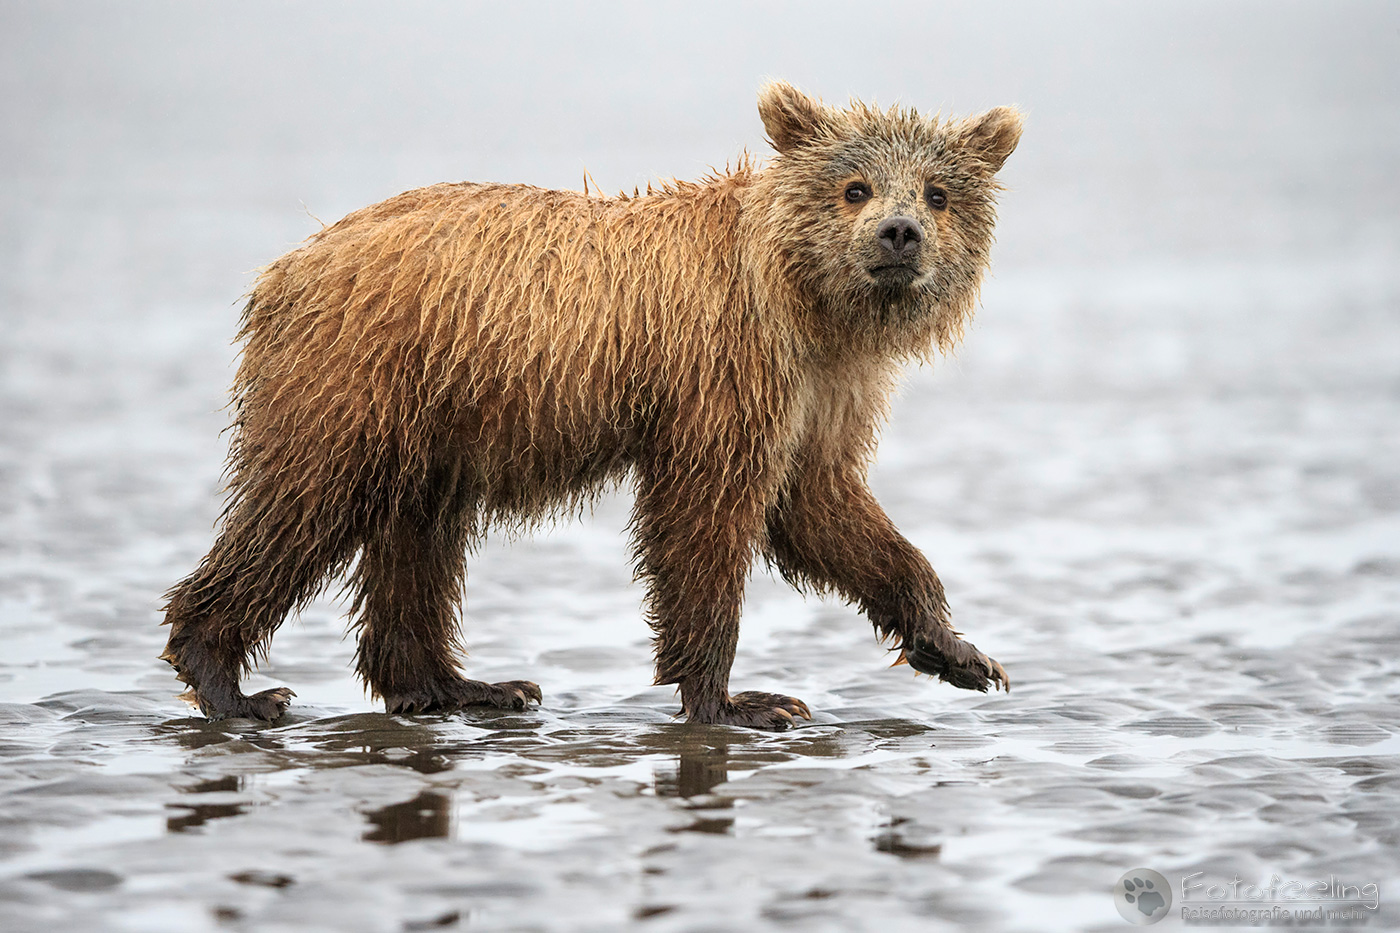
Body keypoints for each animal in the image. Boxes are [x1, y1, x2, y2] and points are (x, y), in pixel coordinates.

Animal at [160, 82, 1021, 729]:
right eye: (855, 187)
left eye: (939, 192)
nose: (899, 233)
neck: (811, 307)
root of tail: (288, 263)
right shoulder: (723, 373)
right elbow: (706, 517)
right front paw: (741, 699)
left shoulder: (825, 392)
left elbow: (822, 505)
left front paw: (961, 652)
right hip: (358, 382)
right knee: (303, 502)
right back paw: (231, 682)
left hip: (433, 415)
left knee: (419, 537)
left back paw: (464, 684)